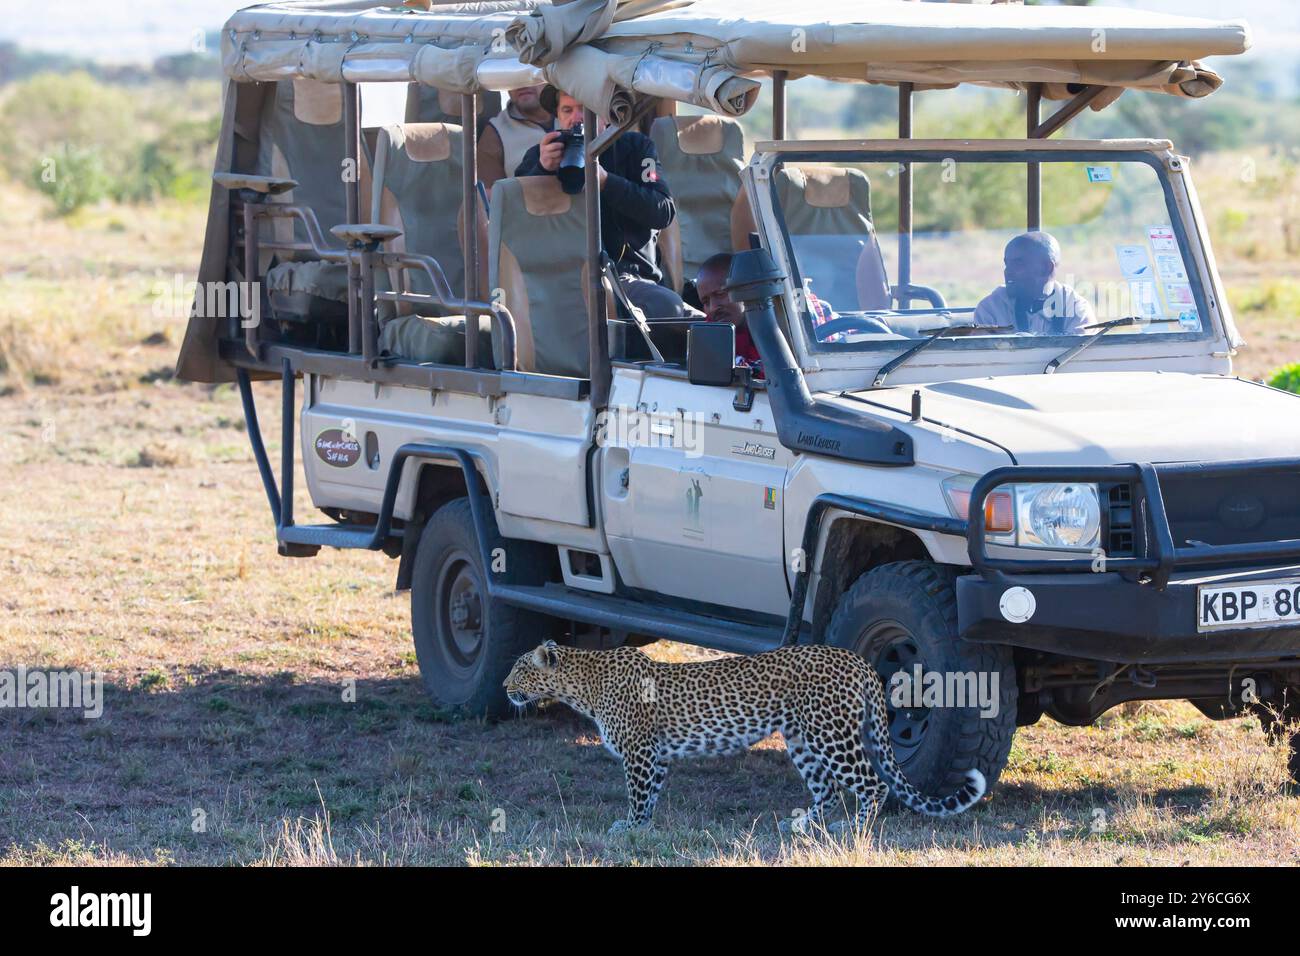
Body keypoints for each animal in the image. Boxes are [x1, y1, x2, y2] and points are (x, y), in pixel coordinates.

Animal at [504, 640, 985, 833]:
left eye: (519, 669)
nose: (505, 688)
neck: (582, 684)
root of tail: (856, 660)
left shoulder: (639, 753)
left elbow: (637, 794)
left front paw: (629, 827)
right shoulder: (656, 756)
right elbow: (651, 794)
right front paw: (643, 827)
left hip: (832, 734)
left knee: (872, 784)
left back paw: (855, 830)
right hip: (801, 738)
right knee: (828, 789)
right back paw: (803, 825)